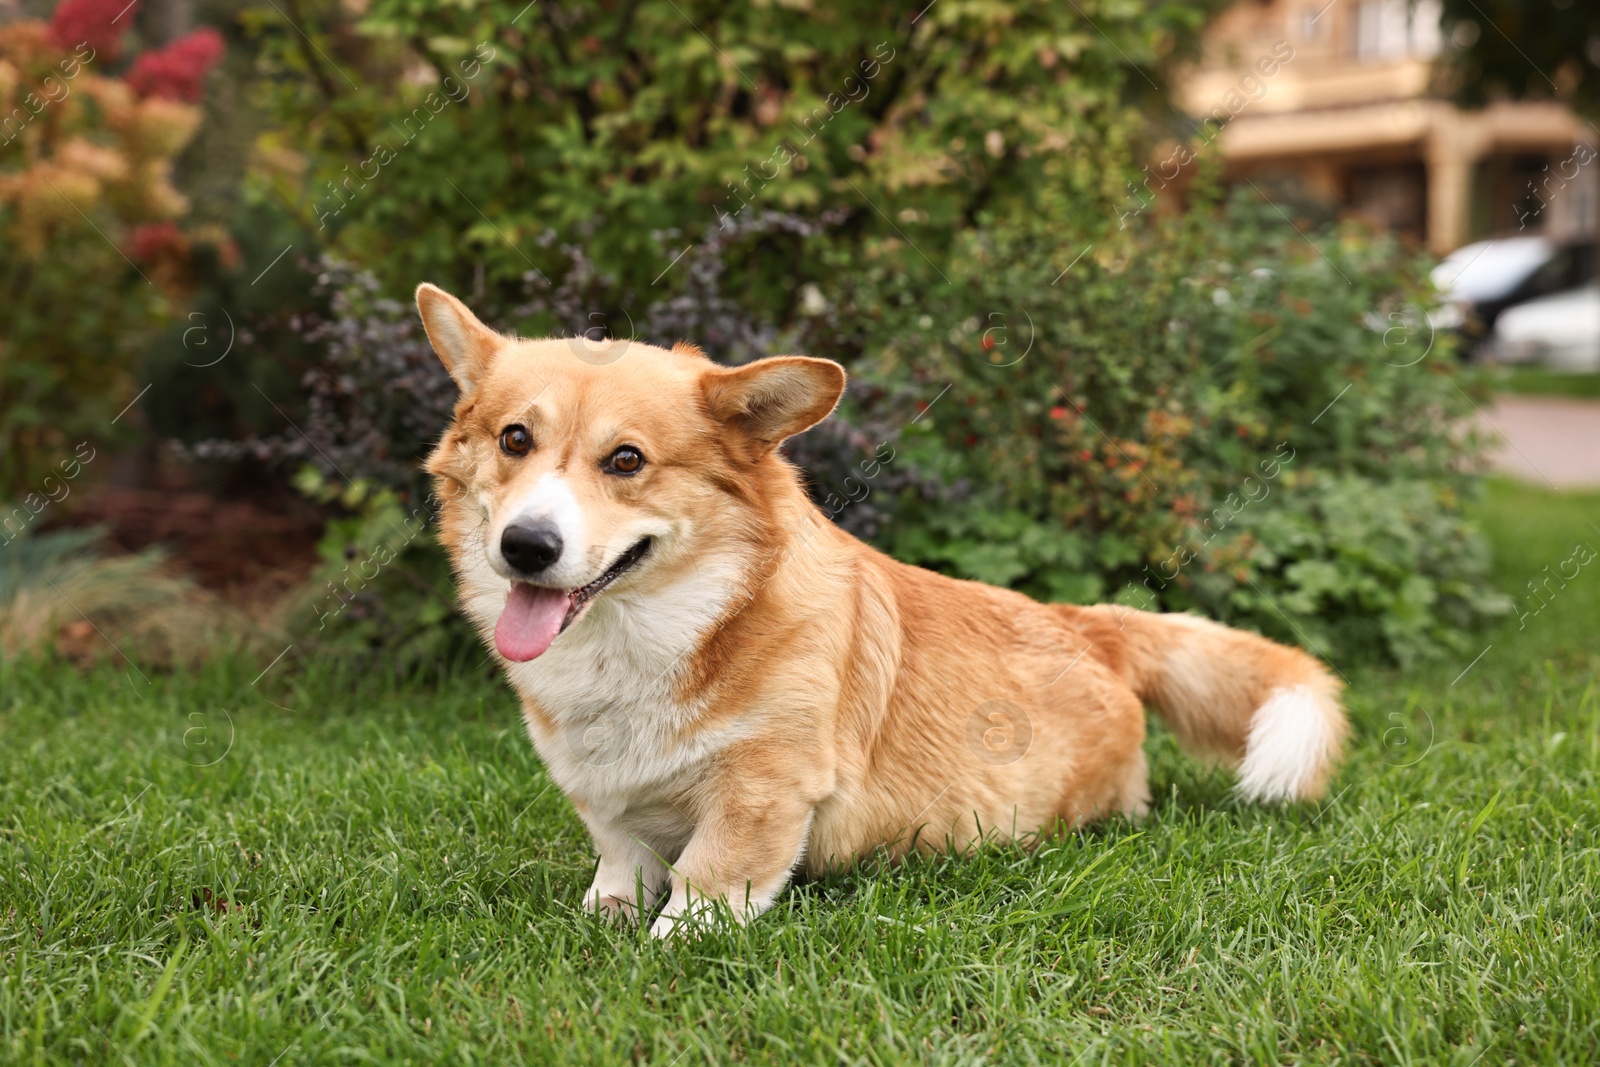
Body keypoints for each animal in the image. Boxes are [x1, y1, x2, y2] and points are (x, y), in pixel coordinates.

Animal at [419, 281, 1344, 934]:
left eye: (625, 459)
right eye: (514, 438)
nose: (525, 547)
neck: (663, 628)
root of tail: (1086, 621)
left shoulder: (765, 786)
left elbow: (707, 878)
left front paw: (670, 941)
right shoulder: (600, 792)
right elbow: (618, 852)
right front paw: (606, 909)